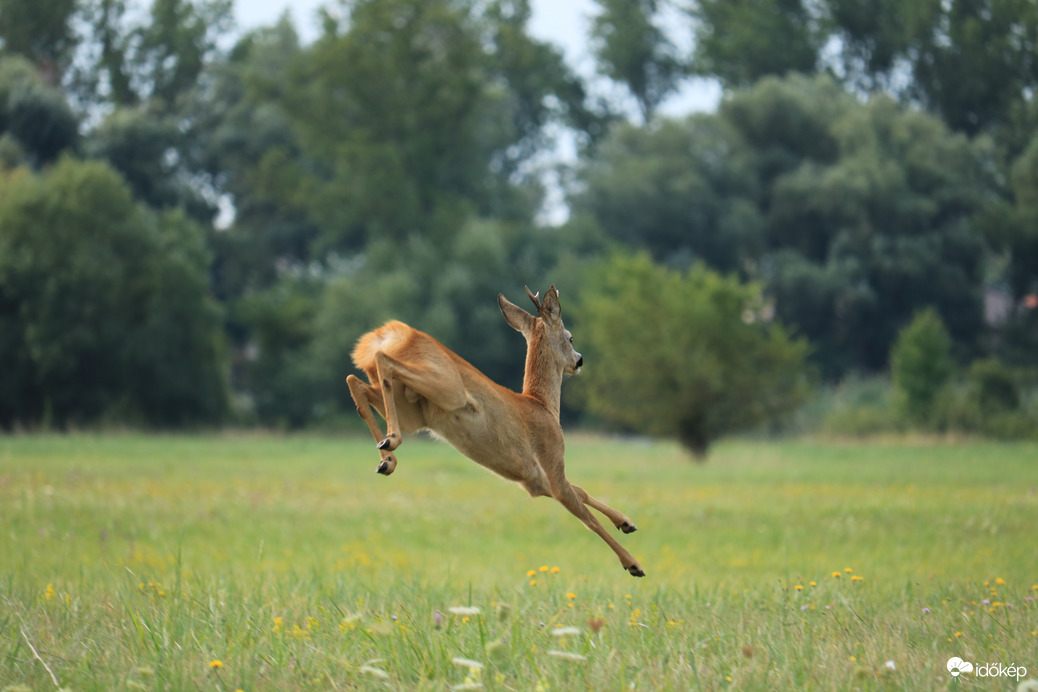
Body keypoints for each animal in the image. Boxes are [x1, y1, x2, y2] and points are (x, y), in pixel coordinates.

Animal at [344, 284, 643, 576]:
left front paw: (626, 522)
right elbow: (587, 518)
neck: (543, 406)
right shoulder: (552, 458)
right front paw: (633, 564)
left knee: (356, 382)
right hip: (446, 387)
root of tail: (388, 335)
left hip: (414, 410)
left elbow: (581, 491)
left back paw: (386, 459)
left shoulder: (534, 480)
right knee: (381, 362)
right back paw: (391, 442)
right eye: (570, 337)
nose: (579, 361)